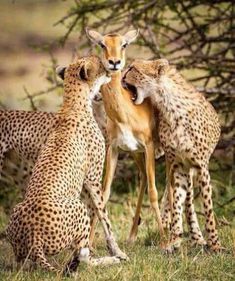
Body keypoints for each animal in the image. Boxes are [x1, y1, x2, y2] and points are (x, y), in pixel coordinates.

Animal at [5, 53, 126, 272]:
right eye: (100, 65)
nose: (111, 67)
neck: (73, 103)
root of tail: (34, 238)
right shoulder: (93, 178)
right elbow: (103, 213)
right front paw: (118, 251)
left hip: (17, 214)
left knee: (21, 263)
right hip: (76, 206)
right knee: (83, 260)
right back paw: (109, 260)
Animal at [123, 58, 222, 250]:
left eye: (133, 68)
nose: (121, 74)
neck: (169, 106)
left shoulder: (201, 166)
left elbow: (207, 207)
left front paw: (214, 243)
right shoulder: (178, 165)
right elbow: (176, 200)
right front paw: (175, 239)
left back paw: (198, 238)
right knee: (187, 202)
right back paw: (193, 236)